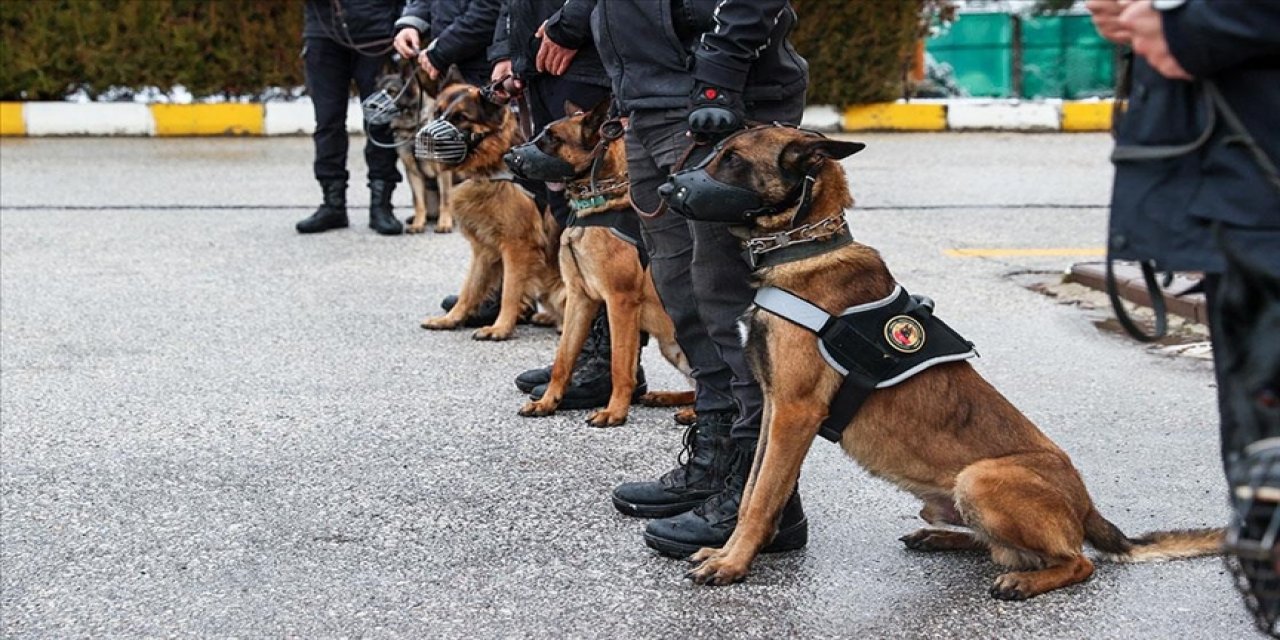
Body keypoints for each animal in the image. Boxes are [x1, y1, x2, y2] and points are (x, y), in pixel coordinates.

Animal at [373, 66, 455, 235]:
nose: (373, 107)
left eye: (391, 91)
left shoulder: (443, 171)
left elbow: (445, 200)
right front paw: (418, 224)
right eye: (376, 91)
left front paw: (444, 224)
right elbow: (419, 202)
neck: (413, 129)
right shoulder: (413, 173)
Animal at [417, 66, 563, 340]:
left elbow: (509, 292)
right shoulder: (484, 249)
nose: (427, 138)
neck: (492, 166)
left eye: (461, 117)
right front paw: (451, 319)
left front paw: (500, 327)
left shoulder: (517, 247)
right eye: (438, 113)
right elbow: (470, 289)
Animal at [506, 99, 696, 427]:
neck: (596, 204)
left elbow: (620, 364)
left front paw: (614, 412)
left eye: (552, 138)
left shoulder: (620, 301)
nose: (509, 156)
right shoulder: (580, 298)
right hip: (672, 347)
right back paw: (667, 398)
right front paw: (547, 402)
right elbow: (563, 359)